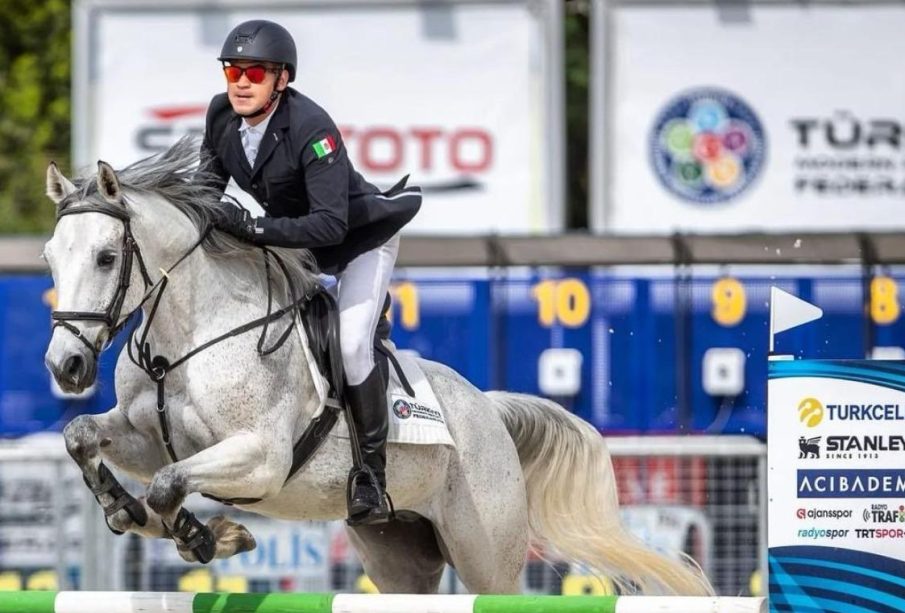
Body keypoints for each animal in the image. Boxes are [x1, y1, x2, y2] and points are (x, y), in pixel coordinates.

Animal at [44, 141, 712, 596]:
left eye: (106, 257)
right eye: (50, 256)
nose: (66, 366)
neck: (182, 341)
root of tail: (489, 410)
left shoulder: (260, 457)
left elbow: (168, 485)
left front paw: (208, 536)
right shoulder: (146, 439)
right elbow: (86, 440)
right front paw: (130, 511)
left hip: (486, 553)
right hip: (399, 553)